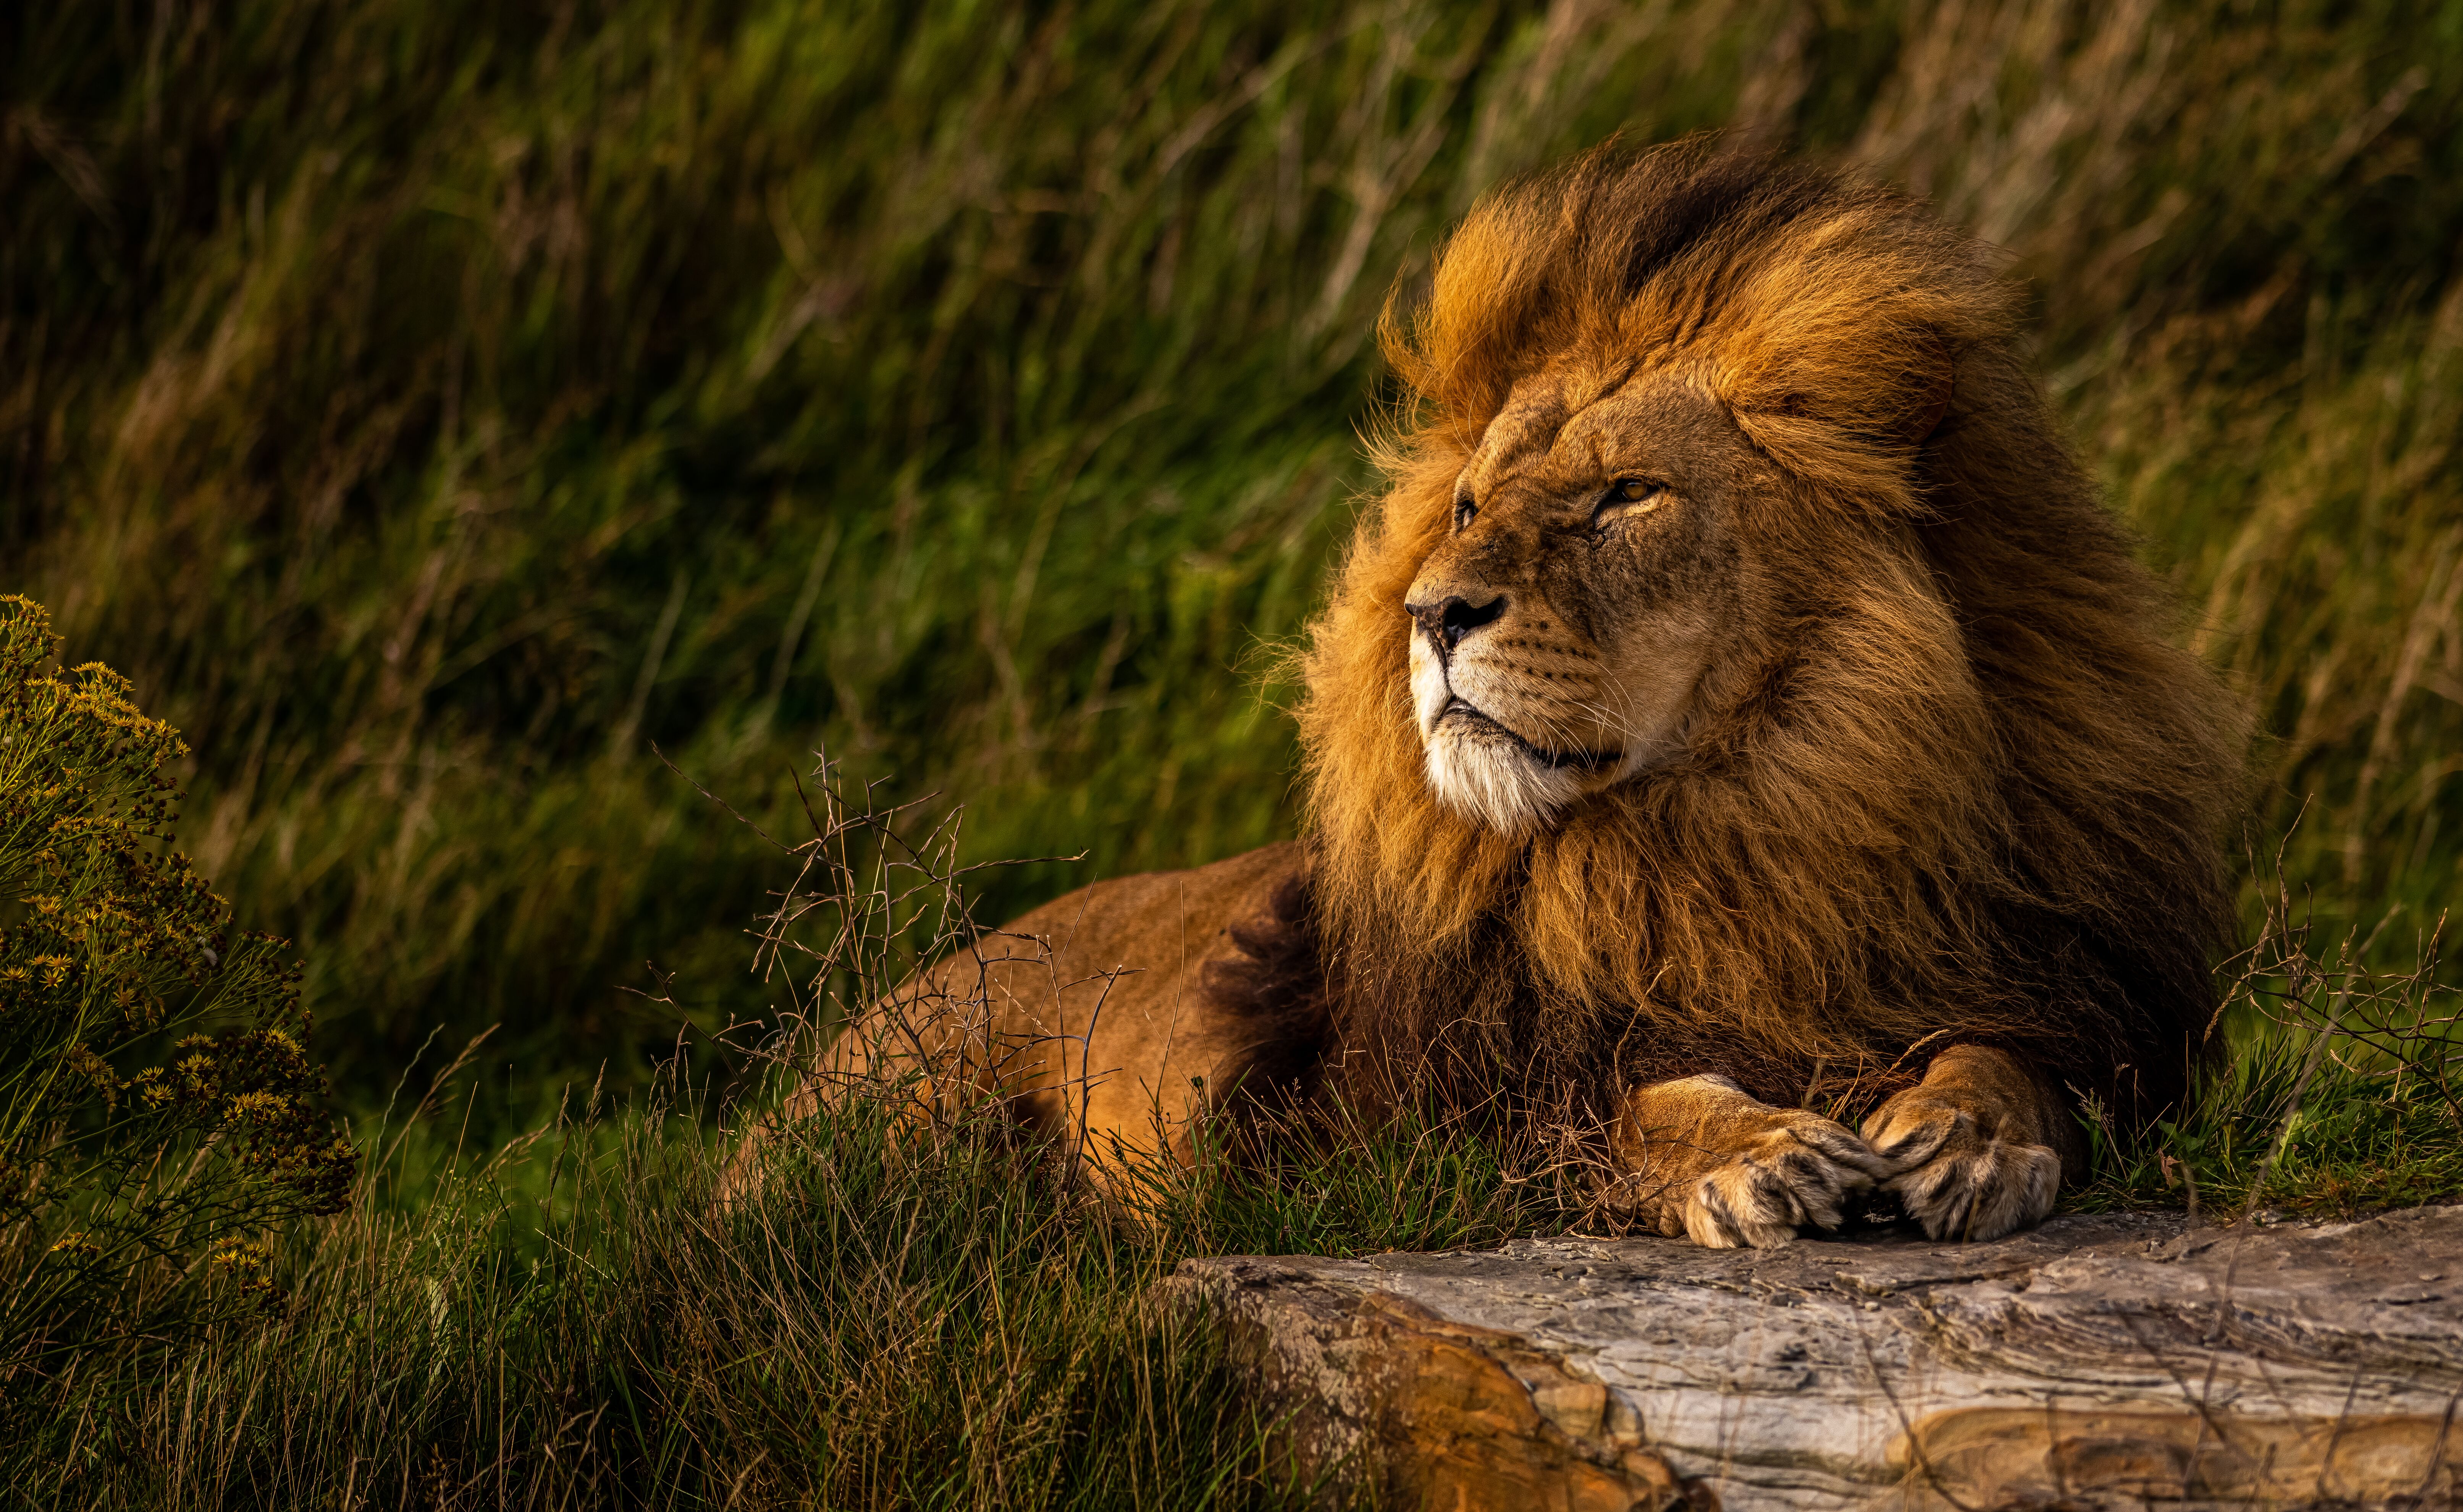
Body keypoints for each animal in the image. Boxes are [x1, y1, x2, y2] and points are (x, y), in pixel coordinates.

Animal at [753, 142, 2256, 1251]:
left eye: (1626, 497)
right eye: (1471, 505)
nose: (1432, 615)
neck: (1738, 839)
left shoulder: (2074, 995)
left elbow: (2016, 1061)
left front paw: (1963, 1138)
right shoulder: (1380, 1126)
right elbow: (1605, 1113)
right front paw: (1754, 1151)